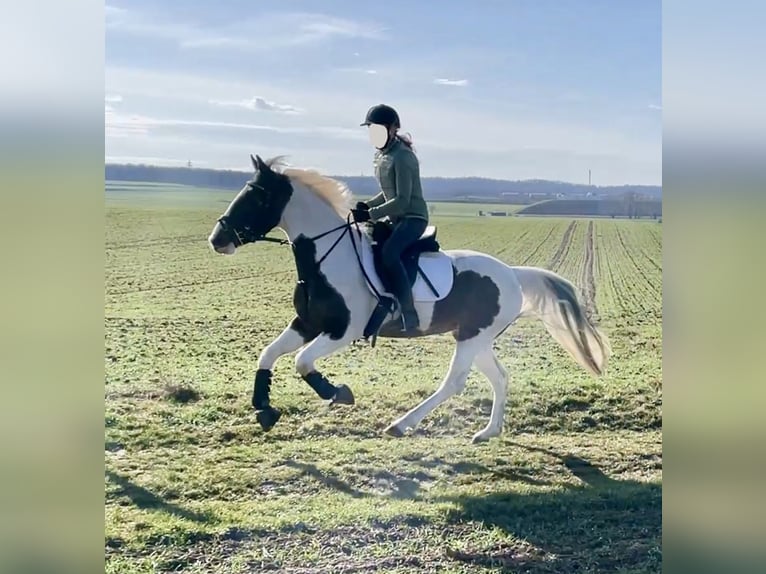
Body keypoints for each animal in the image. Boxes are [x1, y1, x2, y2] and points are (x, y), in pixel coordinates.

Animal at [207, 154, 611, 443]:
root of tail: (512, 273)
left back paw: (402, 424)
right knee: (499, 377)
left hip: (472, 337)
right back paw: (487, 431)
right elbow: (269, 355)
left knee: (455, 382)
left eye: (257, 197)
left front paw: (337, 392)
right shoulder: (307, 323)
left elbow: (302, 362)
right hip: (475, 337)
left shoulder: (342, 332)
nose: (217, 239)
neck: (326, 258)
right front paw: (264, 409)